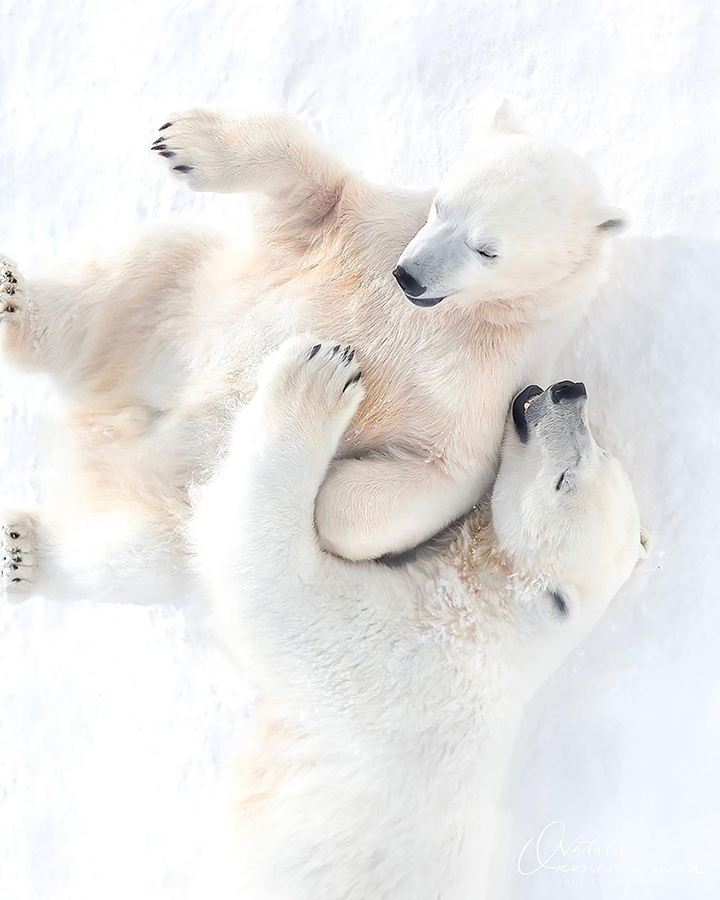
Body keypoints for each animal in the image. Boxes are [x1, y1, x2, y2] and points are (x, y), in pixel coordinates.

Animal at [0, 102, 624, 600]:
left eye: (487, 249)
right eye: (443, 205)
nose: (407, 276)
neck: (461, 316)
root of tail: (94, 432)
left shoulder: (483, 385)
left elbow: (439, 471)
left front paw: (320, 485)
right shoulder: (372, 229)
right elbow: (317, 186)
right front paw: (185, 140)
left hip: (169, 511)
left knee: (126, 556)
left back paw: (25, 549)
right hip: (178, 312)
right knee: (131, 274)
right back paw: (15, 302)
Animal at [193, 338, 652, 900]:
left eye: (565, 481)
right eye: (599, 453)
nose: (570, 391)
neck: (488, 617)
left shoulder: (395, 664)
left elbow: (270, 579)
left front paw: (315, 377)